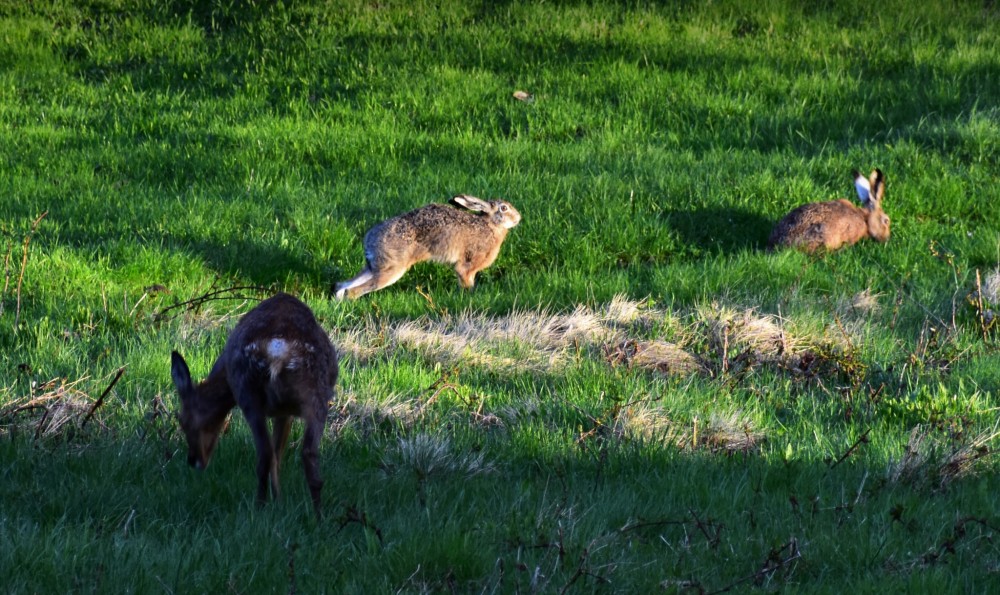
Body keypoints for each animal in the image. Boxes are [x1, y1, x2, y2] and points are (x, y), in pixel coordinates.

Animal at [172, 294, 340, 516]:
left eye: (182, 421)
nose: (193, 460)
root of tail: (278, 351)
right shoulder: (284, 411)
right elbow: (278, 453)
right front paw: (279, 501)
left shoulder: (278, 410)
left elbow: (276, 453)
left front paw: (277, 500)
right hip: (310, 395)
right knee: (298, 453)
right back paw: (308, 513)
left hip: (252, 394)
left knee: (275, 453)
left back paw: (267, 507)